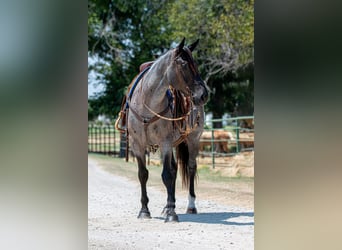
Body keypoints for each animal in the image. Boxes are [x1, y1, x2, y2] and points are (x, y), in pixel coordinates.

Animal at [117, 38, 208, 222]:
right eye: (183, 64)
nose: (203, 95)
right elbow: (143, 174)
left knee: (190, 167)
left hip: (193, 140)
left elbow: (167, 174)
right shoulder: (137, 145)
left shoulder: (164, 143)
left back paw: (190, 206)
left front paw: (172, 214)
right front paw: (145, 211)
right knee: (175, 168)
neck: (147, 101)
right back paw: (167, 207)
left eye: (195, 63)